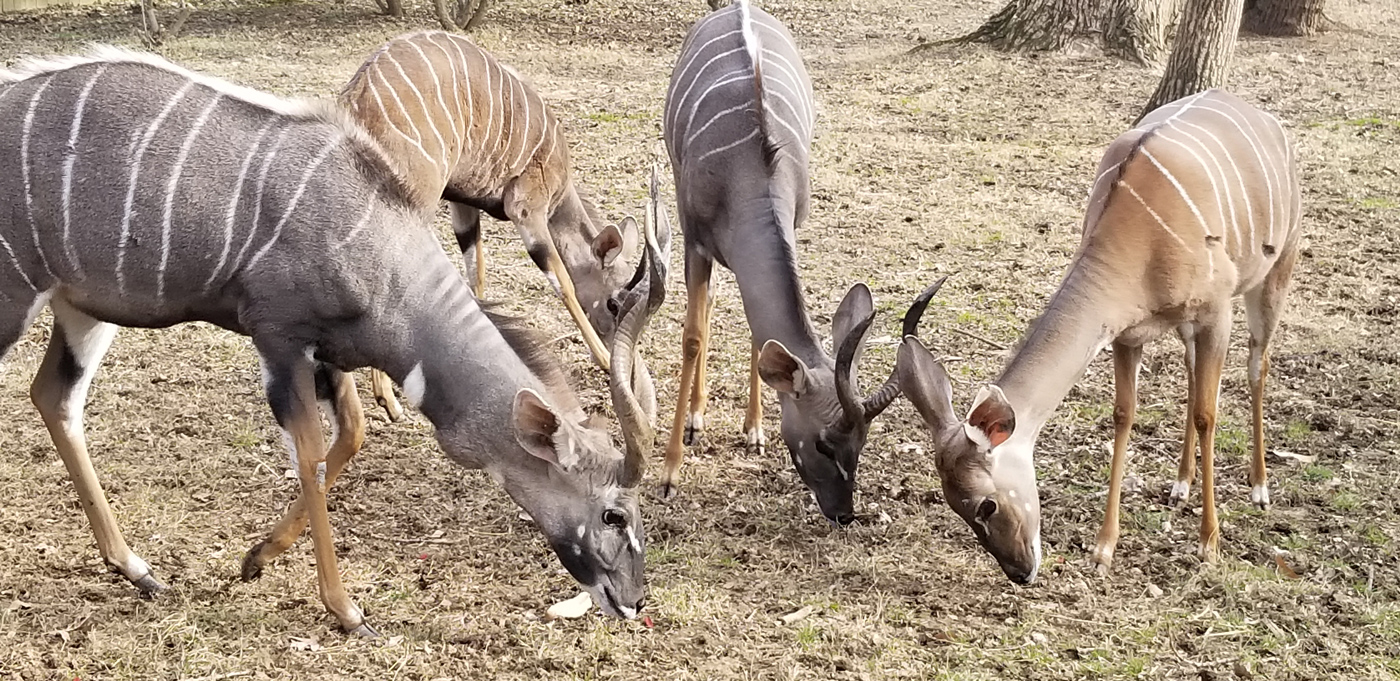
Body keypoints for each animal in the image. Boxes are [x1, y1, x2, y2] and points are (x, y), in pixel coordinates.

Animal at [341, 31, 646, 423]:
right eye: (612, 303)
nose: (622, 354)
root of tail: (357, 95)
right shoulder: (526, 207)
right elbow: (561, 280)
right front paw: (605, 359)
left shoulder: (462, 203)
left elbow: (477, 276)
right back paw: (386, 400)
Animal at [663, 1, 901, 521]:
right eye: (824, 444)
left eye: (863, 444)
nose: (844, 513)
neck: (751, 172)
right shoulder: (694, 241)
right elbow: (692, 337)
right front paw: (669, 471)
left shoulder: (792, 224)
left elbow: (758, 335)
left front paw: (754, 431)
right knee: (704, 313)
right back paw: (695, 419)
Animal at [896, 87, 1299, 582]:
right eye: (956, 507)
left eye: (986, 505)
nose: (1020, 571)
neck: (1139, 237)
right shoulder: (1129, 333)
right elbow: (1123, 415)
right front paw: (1104, 548)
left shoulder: (1216, 311)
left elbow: (1209, 413)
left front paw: (1209, 544)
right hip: (1188, 326)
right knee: (1192, 375)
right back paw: (1180, 484)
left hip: (1276, 271)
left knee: (1257, 363)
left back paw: (1259, 487)